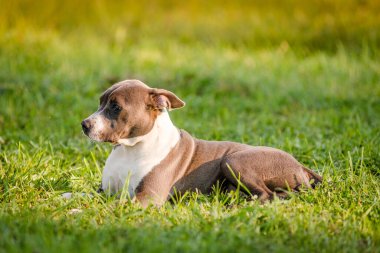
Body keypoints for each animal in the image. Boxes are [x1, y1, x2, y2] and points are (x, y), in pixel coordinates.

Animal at [78, 79, 322, 208]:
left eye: (116, 107)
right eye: (100, 102)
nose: (84, 124)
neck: (131, 149)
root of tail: (300, 166)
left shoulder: (147, 197)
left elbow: (107, 206)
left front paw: (77, 212)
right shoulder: (105, 191)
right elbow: (83, 196)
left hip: (234, 160)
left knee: (265, 194)